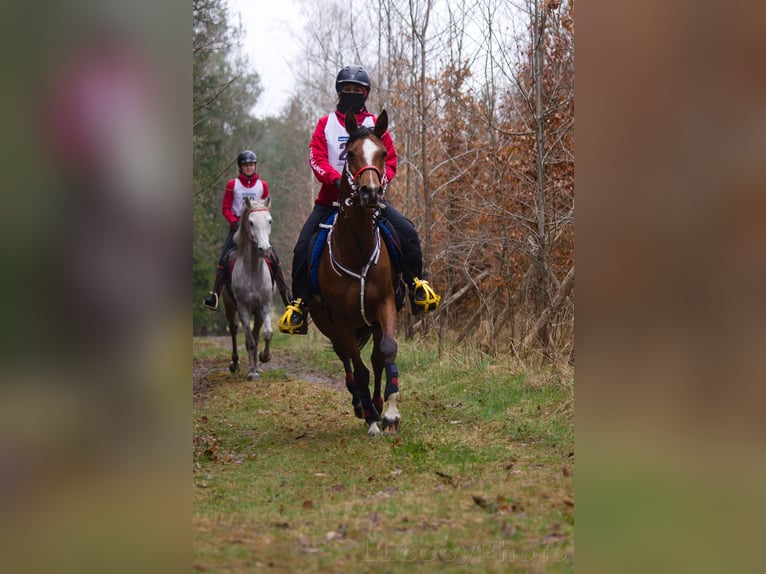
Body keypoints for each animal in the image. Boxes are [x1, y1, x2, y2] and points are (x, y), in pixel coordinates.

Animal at [222, 198, 276, 382]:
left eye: (269, 220)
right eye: (251, 223)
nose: (264, 249)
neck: (252, 271)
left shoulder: (265, 306)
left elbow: (267, 333)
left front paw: (264, 357)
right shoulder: (243, 308)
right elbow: (250, 342)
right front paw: (252, 372)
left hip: (257, 312)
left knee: (256, 333)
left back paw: (258, 365)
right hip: (229, 307)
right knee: (234, 330)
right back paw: (235, 364)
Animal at [308, 110, 402, 438]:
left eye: (383, 153)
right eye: (349, 153)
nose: (370, 192)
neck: (358, 247)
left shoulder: (385, 304)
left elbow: (387, 352)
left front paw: (390, 412)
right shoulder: (341, 319)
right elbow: (359, 368)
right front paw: (372, 418)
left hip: (371, 321)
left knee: (374, 358)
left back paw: (374, 402)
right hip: (329, 325)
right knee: (347, 359)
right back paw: (361, 405)